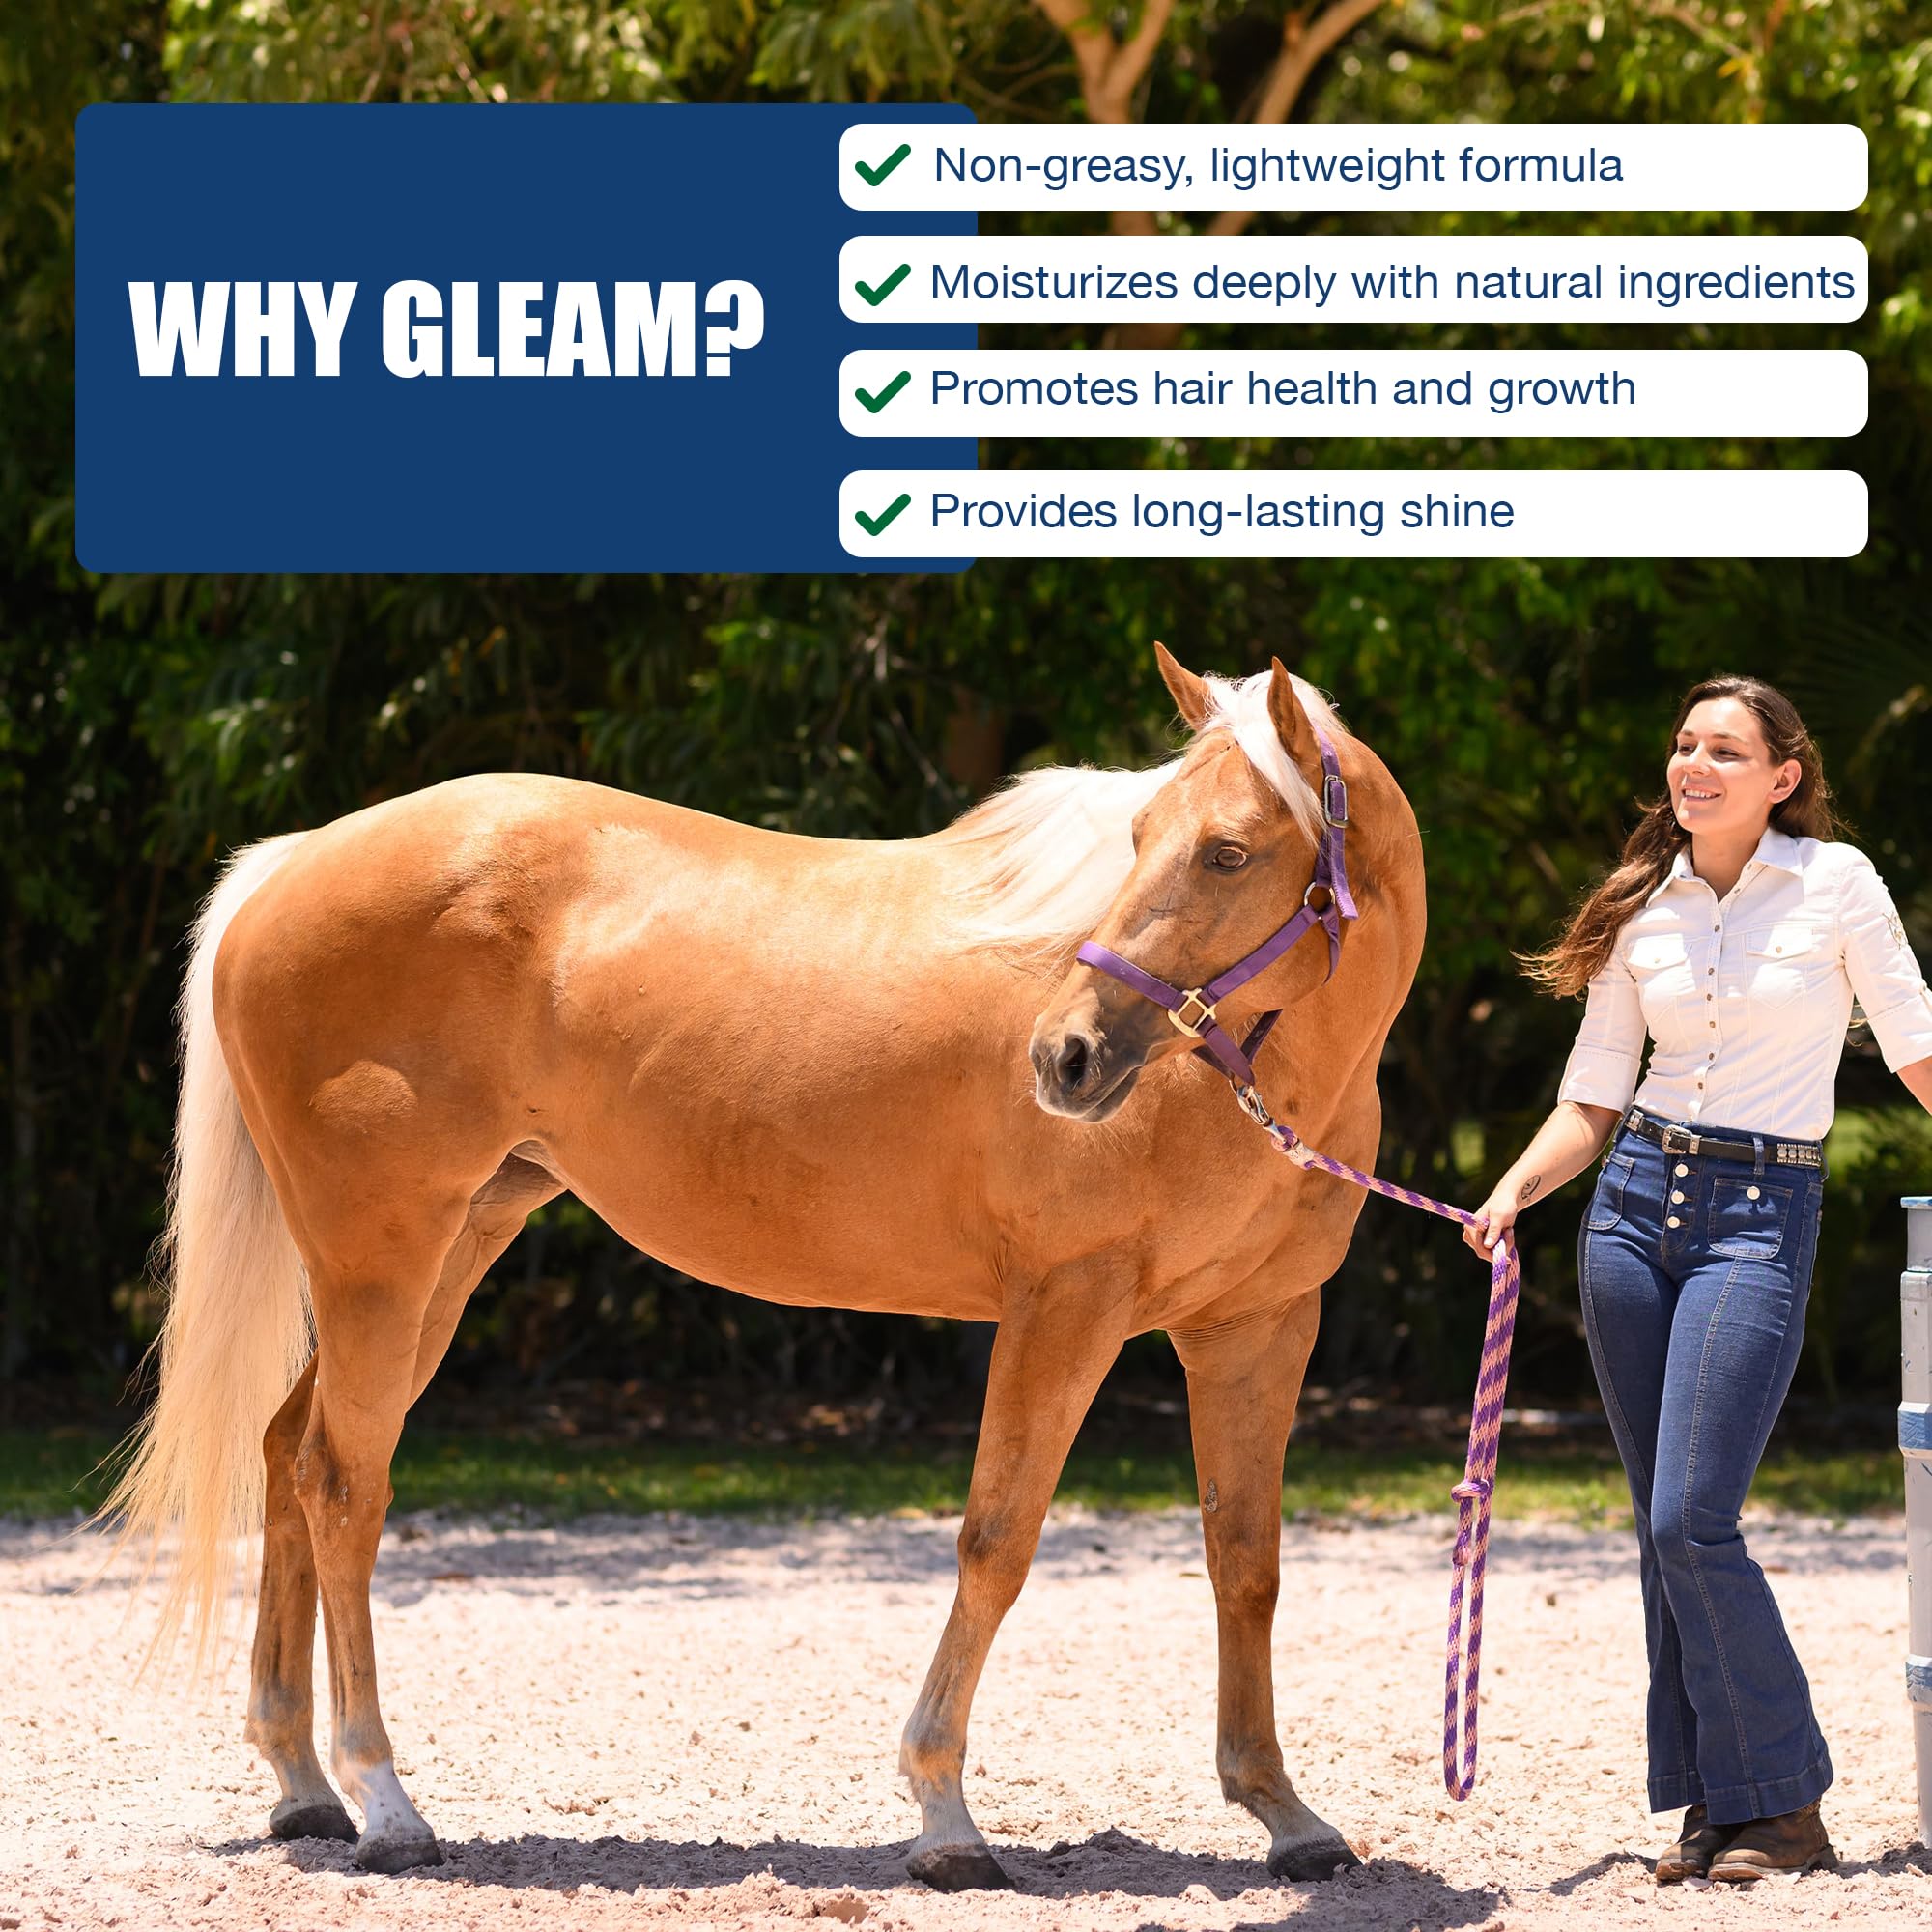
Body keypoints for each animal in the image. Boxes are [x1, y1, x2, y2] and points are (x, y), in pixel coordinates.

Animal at [106, 645, 1426, 1890]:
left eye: (1223, 850)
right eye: (1147, 837)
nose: (1065, 1054)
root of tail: (291, 863)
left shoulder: (1256, 1327)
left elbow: (1244, 1561)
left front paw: (1285, 1814)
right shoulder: (1065, 1306)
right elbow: (996, 1542)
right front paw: (944, 1817)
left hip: (449, 1252)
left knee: (288, 1455)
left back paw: (302, 1787)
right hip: (382, 1260)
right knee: (341, 1482)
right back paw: (385, 1804)